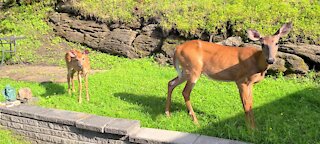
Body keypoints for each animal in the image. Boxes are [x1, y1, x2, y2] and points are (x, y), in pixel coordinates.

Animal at [166, 22, 294, 127]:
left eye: (277, 43)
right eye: (262, 44)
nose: (271, 60)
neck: (257, 63)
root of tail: (177, 48)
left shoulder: (250, 83)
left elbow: (251, 103)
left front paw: (254, 127)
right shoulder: (241, 80)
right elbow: (246, 104)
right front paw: (250, 129)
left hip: (186, 71)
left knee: (171, 83)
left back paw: (168, 114)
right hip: (194, 69)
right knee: (185, 92)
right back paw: (196, 121)